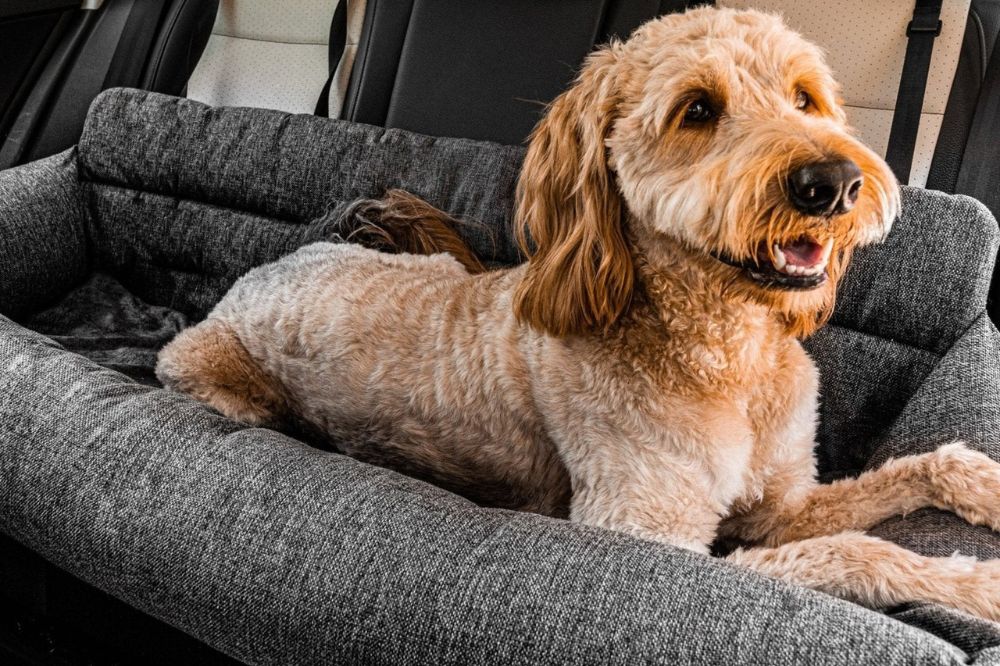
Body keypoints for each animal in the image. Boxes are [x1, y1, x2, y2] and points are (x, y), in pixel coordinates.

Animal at [156, 6, 1000, 616]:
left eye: (806, 97)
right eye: (697, 109)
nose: (833, 182)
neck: (723, 352)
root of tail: (274, 265)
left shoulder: (780, 502)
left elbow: (915, 470)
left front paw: (985, 488)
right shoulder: (647, 536)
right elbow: (852, 550)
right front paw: (979, 588)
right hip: (213, 377)